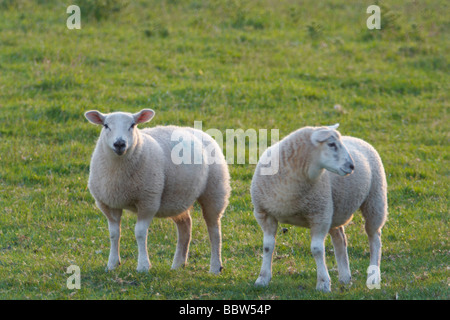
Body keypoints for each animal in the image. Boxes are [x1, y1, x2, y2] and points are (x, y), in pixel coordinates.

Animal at [84, 109, 230, 272]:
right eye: (106, 125)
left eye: (132, 125)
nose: (120, 143)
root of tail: (199, 131)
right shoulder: (108, 204)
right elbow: (114, 234)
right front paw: (112, 264)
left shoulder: (148, 201)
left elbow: (140, 233)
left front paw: (143, 266)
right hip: (177, 198)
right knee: (185, 226)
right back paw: (178, 264)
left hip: (215, 190)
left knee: (214, 231)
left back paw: (215, 267)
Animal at [251, 124, 388, 292]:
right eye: (331, 144)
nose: (352, 166)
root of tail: (357, 138)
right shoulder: (265, 213)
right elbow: (267, 246)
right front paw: (262, 279)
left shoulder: (319, 215)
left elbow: (317, 249)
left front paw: (323, 283)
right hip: (335, 209)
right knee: (340, 238)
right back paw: (345, 277)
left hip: (375, 200)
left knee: (374, 238)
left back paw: (373, 277)